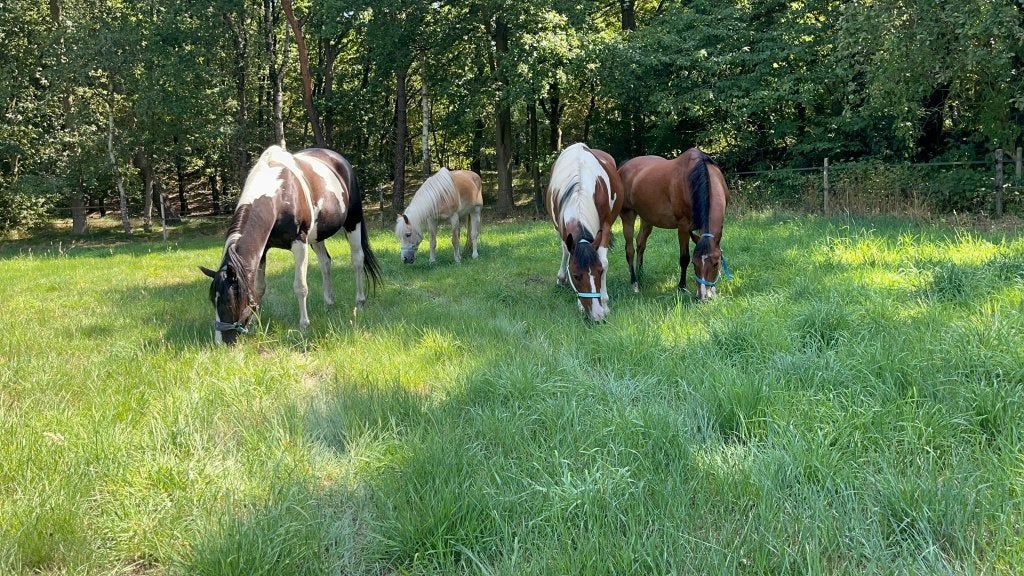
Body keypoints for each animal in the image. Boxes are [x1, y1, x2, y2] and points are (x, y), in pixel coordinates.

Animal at [200, 145, 382, 344]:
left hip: (352, 222)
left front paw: (304, 325)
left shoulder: (299, 244)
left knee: (357, 260)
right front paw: (256, 323)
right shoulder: (263, 251)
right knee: (325, 263)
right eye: (212, 301)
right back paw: (328, 303)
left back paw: (360, 302)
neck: (279, 194)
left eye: (227, 301)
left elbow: (300, 287)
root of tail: (341, 161)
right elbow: (258, 288)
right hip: (317, 236)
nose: (220, 342)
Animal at [546, 142, 624, 321]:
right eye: (576, 276)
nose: (597, 315)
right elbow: (568, 254)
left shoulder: (606, 226)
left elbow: (603, 260)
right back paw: (561, 278)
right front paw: (581, 305)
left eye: (599, 272)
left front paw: (604, 302)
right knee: (564, 250)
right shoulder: (562, 229)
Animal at [618, 147, 730, 301]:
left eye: (716, 263)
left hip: (647, 219)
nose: (702, 297)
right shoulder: (683, 227)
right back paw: (634, 283)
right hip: (628, 215)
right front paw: (682, 287)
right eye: (694, 263)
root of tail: (623, 166)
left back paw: (641, 275)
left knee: (640, 243)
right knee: (630, 249)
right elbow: (684, 258)